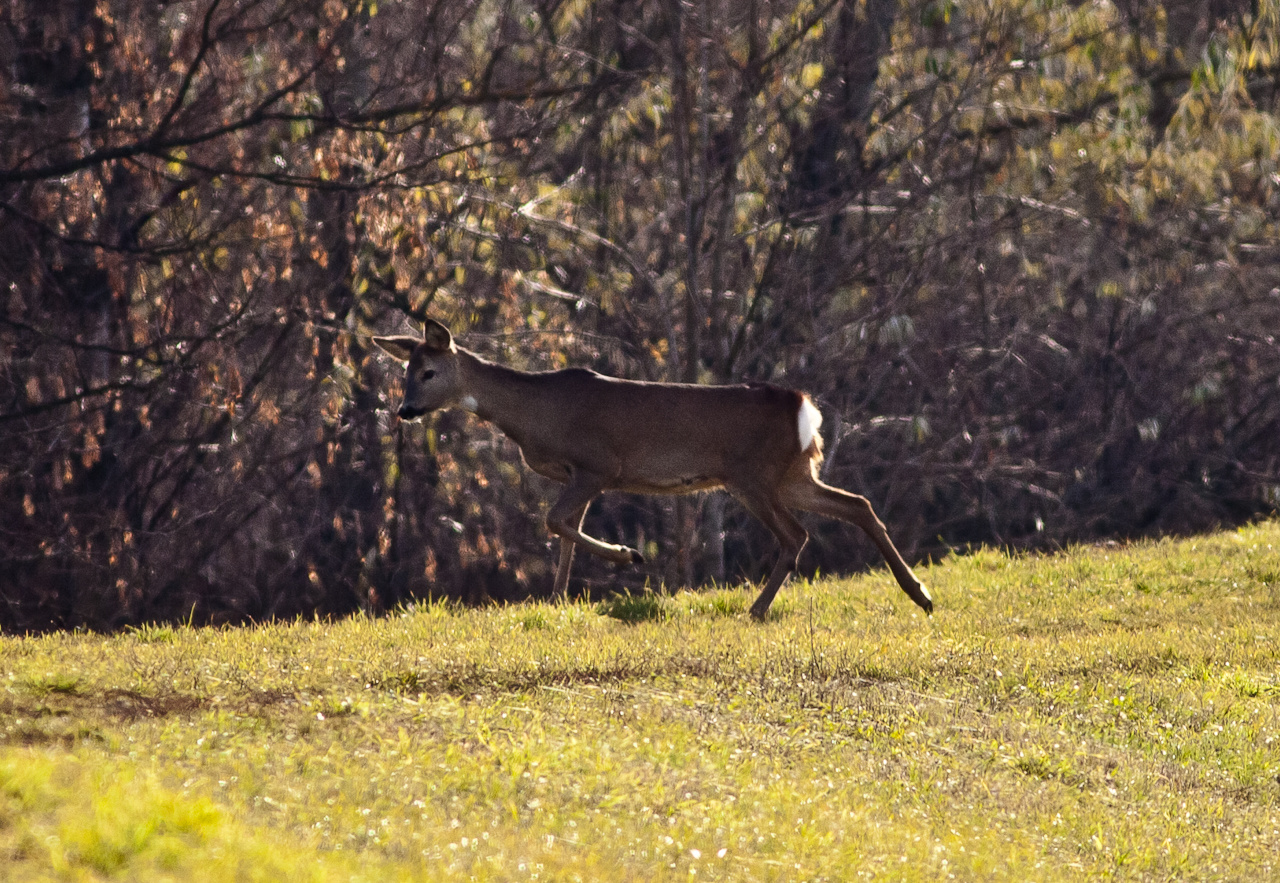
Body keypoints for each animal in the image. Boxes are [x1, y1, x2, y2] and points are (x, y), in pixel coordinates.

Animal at [373, 318, 936, 619]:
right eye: (405, 371)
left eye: (428, 371)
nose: (403, 411)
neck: (535, 415)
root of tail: (804, 406)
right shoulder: (581, 476)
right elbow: (563, 532)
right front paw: (556, 599)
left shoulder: (598, 464)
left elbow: (555, 522)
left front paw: (630, 556)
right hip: (794, 473)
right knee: (858, 504)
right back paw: (921, 595)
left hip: (753, 475)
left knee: (797, 535)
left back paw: (756, 609)